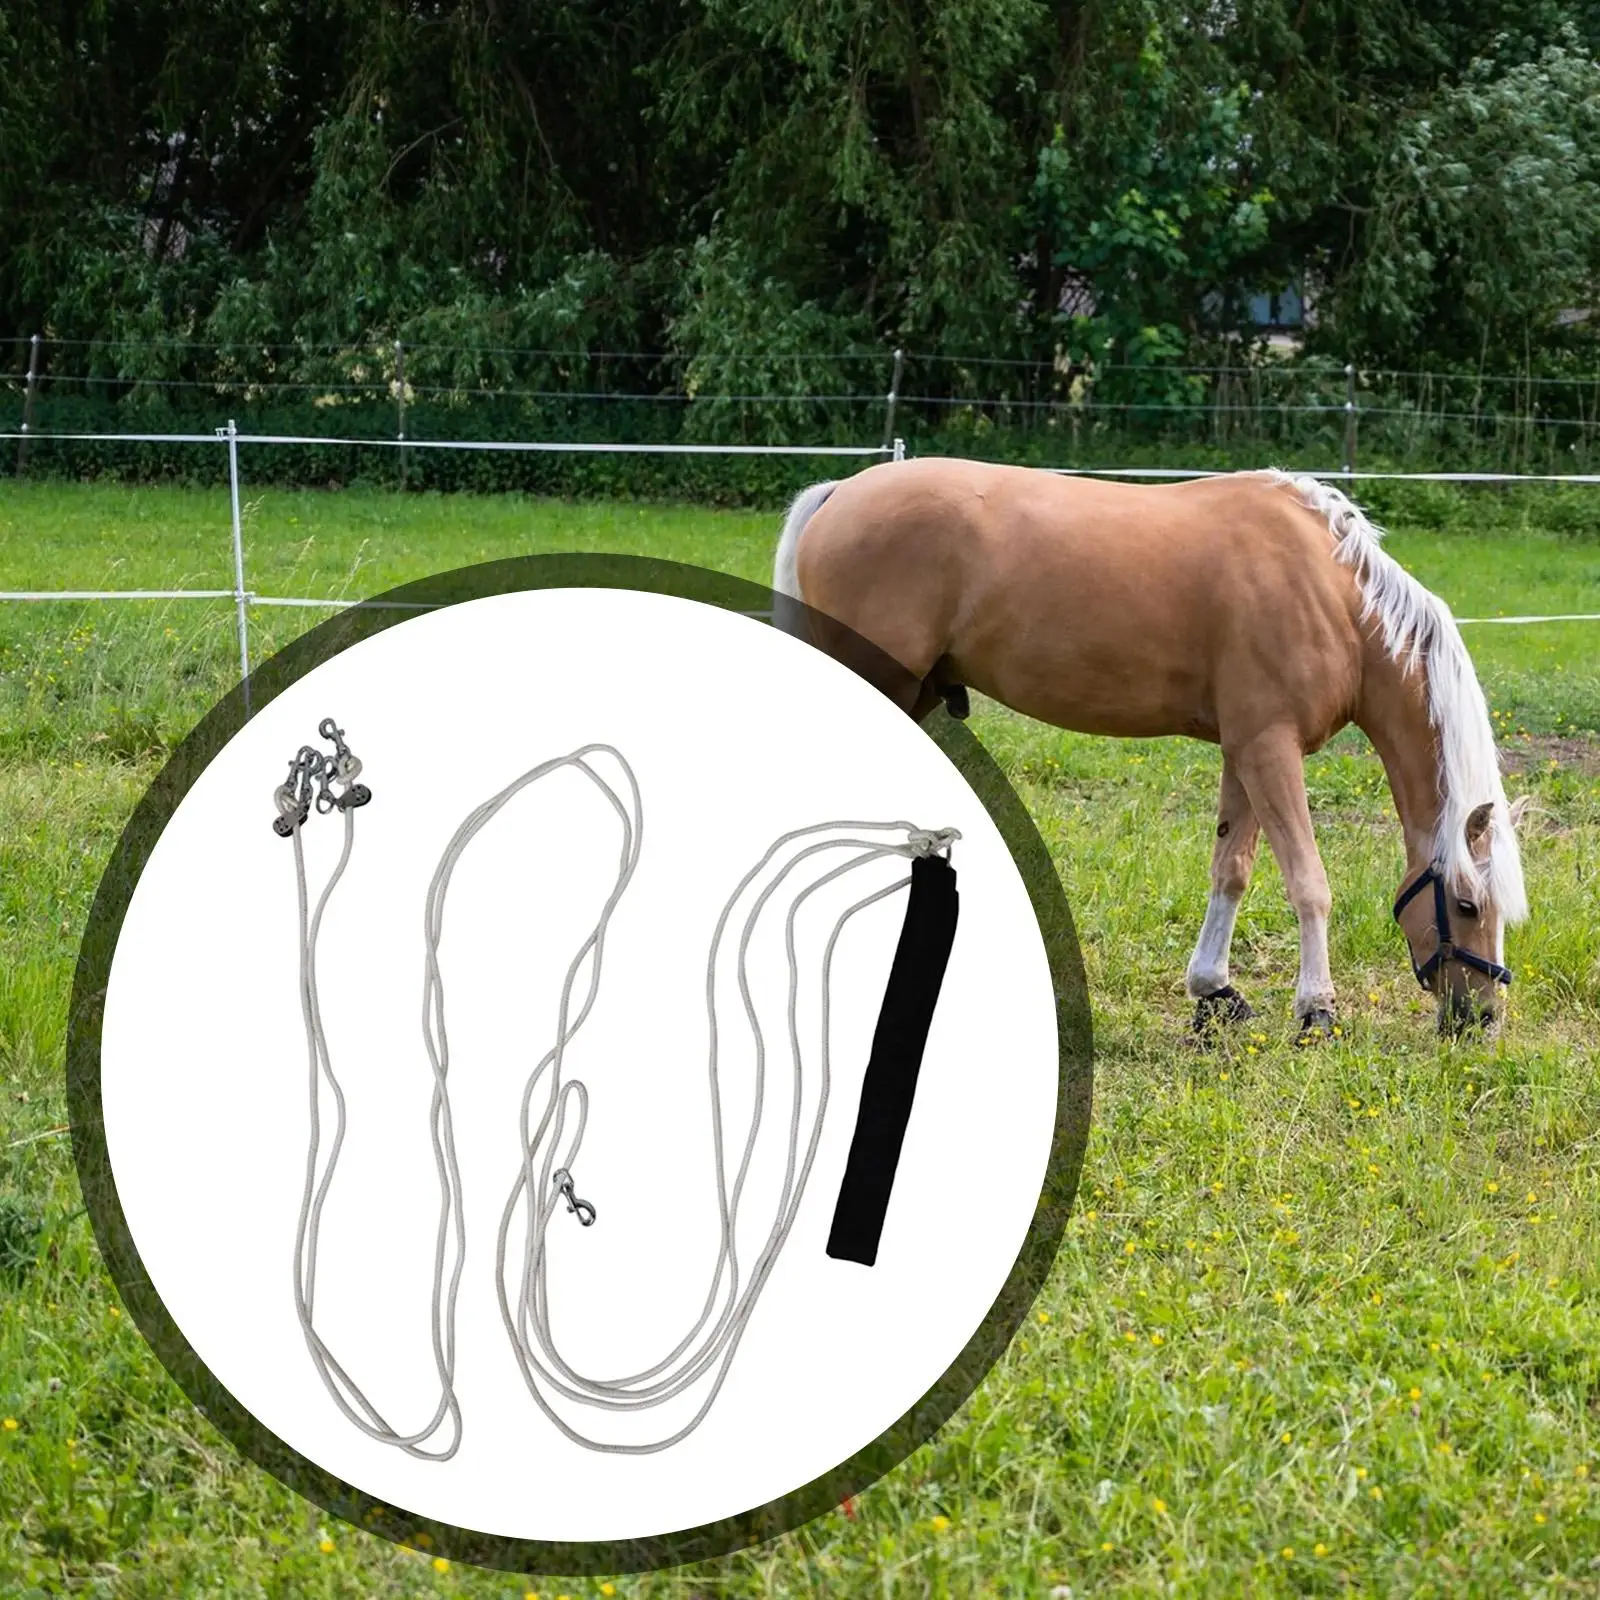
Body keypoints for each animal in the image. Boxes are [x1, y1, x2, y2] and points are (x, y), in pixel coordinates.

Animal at [771, 458, 1529, 1037]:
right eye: (1467, 906)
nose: (1482, 1019)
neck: (1332, 593)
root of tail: (839, 492)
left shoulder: (1244, 750)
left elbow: (1233, 869)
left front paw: (1215, 992)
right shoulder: (1270, 747)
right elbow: (1308, 881)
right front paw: (1316, 1009)